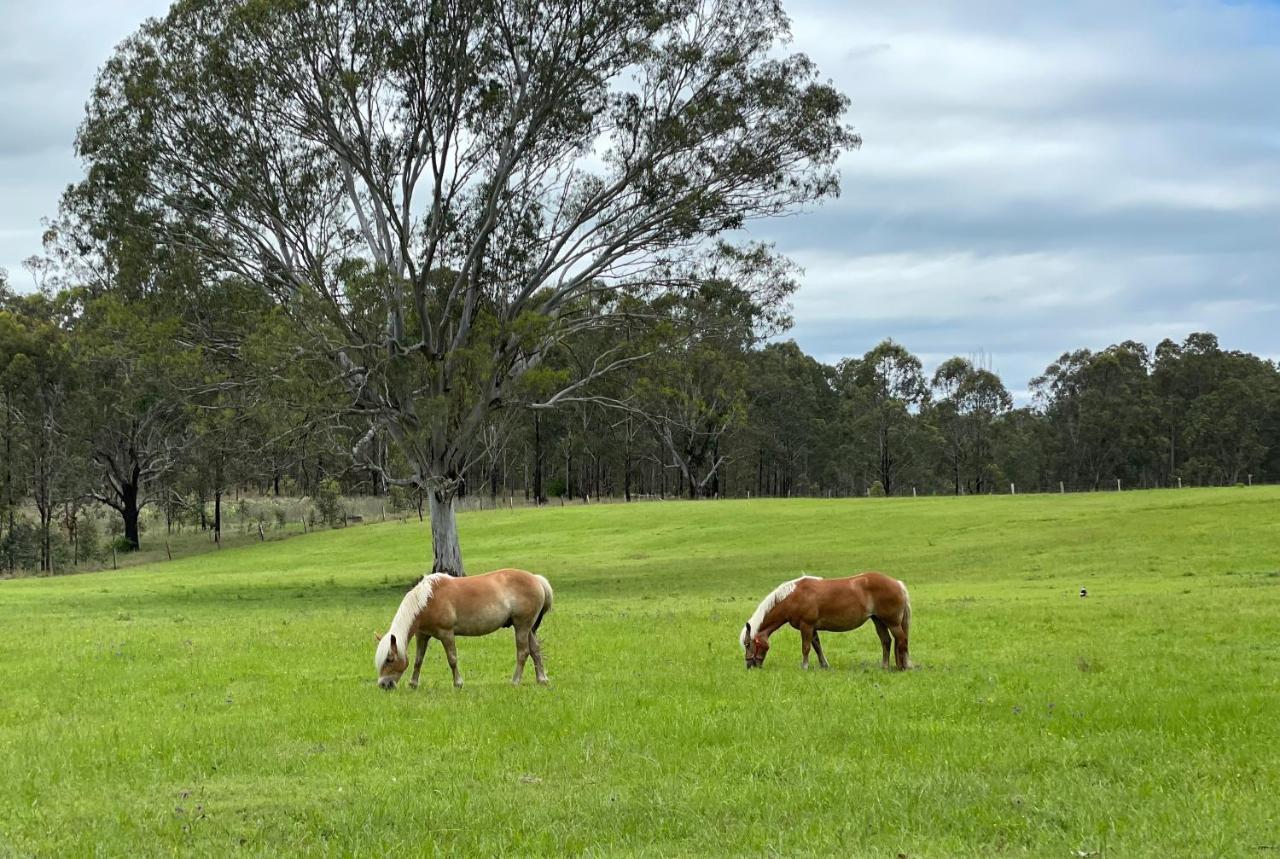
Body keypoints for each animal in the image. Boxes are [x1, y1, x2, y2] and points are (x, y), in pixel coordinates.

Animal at [371, 570, 550, 691]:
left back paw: (515, 681)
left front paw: (458, 683)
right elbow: (418, 660)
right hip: (528, 629)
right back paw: (542, 679)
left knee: (523, 652)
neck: (428, 600)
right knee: (535, 650)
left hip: (521, 626)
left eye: (389, 659)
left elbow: (452, 659)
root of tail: (536, 579)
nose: (384, 684)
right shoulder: (422, 635)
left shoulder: (446, 634)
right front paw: (413, 684)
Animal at [742, 573, 911, 675]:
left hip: (893, 623)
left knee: (902, 640)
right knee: (886, 641)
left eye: (748, 644)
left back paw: (904, 667)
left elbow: (806, 647)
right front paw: (824, 665)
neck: (794, 596)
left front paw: (804, 667)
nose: (749, 666)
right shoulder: (812, 628)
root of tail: (898, 584)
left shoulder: (806, 626)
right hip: (878, 621)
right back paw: (884, 667)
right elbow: (817, 646)